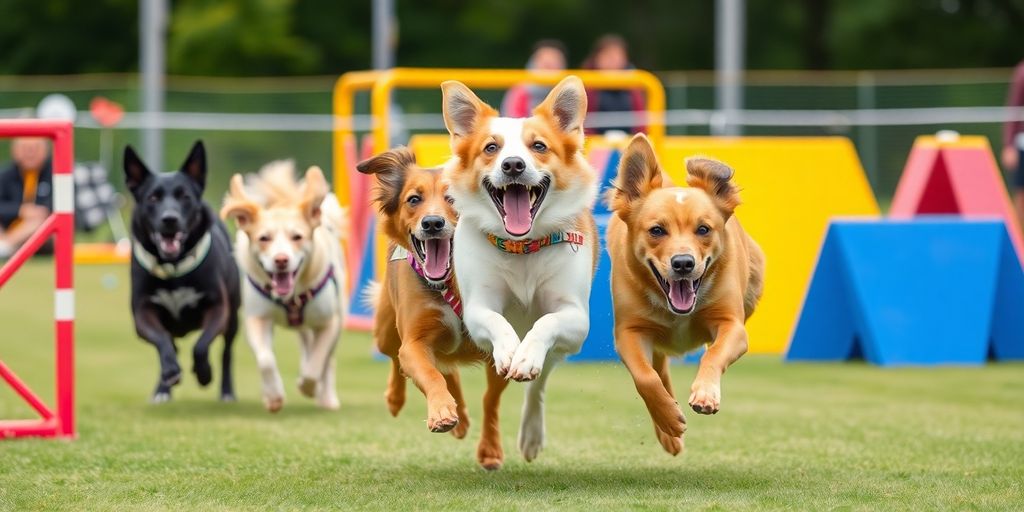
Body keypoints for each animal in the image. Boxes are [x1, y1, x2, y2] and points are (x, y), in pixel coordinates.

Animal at [122, 141, 240, 403]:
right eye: (153, 197)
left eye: (184, 196)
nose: (170, 219)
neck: (173, 267)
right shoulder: (142, 313)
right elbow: (162, 340)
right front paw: (170, 373)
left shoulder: (219, 308)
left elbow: (202, 345)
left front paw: (204, 374)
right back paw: (162, 389)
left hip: (233, 318)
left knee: (227, 352)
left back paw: (226, 391)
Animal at [220, 161, 348, 413]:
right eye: (264, 238)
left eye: (297, 237)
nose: (281, 260)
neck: (291, 297)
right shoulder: (257, 318)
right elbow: (266, 360)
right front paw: (273, 396)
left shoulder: (328, 322)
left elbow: (316, 364)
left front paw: (308, 386)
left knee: (327, 360)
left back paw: (326, 397)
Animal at [358, 146, 512, 468]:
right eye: (414, 199)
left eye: (452, 198)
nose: (432, 223)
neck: (452, 283)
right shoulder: (415, 341)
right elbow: (429, 373)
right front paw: (441, 412)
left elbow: (490, 399)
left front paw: (490, 449)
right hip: (385, 331)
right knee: (401, 358)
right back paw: (397, 399)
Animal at [442, 76, 598, 464]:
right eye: (491, 148)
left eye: (539, 146)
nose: (512, 165)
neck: (522, 247)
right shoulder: (477, 308)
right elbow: (496, 321)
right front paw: (510, 349)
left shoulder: (576, 319)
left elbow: (546, 323)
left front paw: (525, 356)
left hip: (559, 353)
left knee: (538, 385)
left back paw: (530, 430)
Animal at [602, 134, 765, 454]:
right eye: (656, 230)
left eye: (703, 229)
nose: (683, 263)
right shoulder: (629, 331)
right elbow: (645, 377)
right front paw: (669, 419)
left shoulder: (733, 326)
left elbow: (714, 353)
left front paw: (705, 395)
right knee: (659, 369)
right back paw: (669, 430)